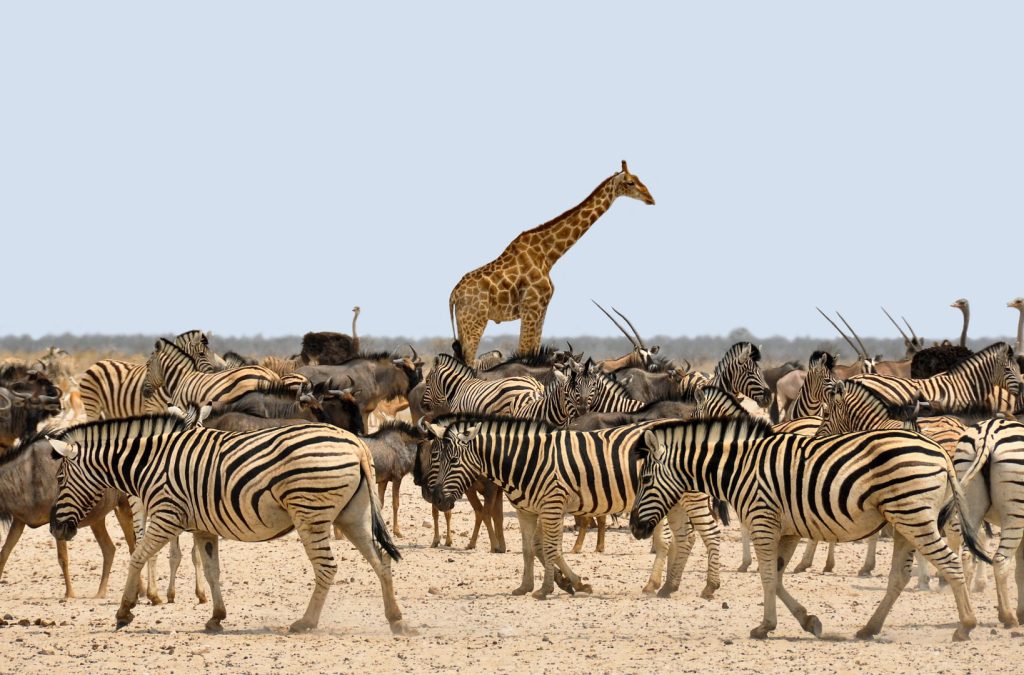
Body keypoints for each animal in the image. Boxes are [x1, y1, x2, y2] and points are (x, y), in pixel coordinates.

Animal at [47, 414, 410, 634]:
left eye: (60, 479)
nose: (55, 529)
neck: (150, 463)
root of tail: (356, 443)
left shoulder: (166, 516)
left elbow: (136, 557)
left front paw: (124, 611)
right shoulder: (203, 527)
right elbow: (212, 571)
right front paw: (216, 618)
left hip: (310, 512)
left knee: (327, 568)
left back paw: (305, 622)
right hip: (353, 515)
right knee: (381, 560)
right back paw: (396, 620)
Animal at [426, 415, 723, 600]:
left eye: (453, 461)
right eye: (436, 457)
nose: (438, 500)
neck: (523, 460)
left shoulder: (552, 505)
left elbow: (549, 548)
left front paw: (548, 588)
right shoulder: (527, 511)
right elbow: (530, 549)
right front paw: (531, 585)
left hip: (690, 497)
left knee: (708, 534)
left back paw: (708, 587)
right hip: (672, 501)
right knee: (684, 538)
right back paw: (665, 586)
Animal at [630, 417, 989, 641]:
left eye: (645, 479)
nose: (634, 528)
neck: (739, 467)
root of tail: (941, 451)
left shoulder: (762, 520)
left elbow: (767, 576)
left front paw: (765, 626)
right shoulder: (786, 530)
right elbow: (776, 577)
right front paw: (807, 621)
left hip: (913, 515)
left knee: (951, 563)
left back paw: (966, 626)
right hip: (903, 521)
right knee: (899, 576)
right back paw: (869, 628)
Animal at [953, 418, 1024, 628]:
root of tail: (987, 434)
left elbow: (1020, 570)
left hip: (971, 507)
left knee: (967, 557)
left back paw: (966, 618)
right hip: (1014, 515)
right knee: (1000, 560)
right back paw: (1009, 617)